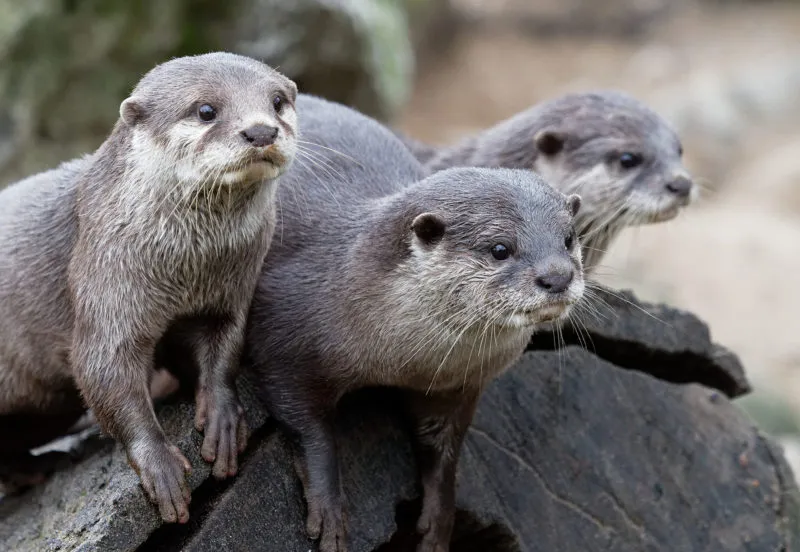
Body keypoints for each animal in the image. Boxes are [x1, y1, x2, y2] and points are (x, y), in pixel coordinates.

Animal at [0, 52, 298, 523]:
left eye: (278, 101)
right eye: (206, 110)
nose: (261, 130)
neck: (188, 266)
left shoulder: (229, 294)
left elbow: (224, 350)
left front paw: (222, 417)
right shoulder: (107, 281)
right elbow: (104, 370)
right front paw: (160, 465)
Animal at [245, 95, 585, 552]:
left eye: (569, 239)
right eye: (500, 249)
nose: (557, 276)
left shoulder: (454, 385)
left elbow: (444, 448)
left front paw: (439, 521)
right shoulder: (281, 331)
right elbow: (306, 425)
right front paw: (329, 507)